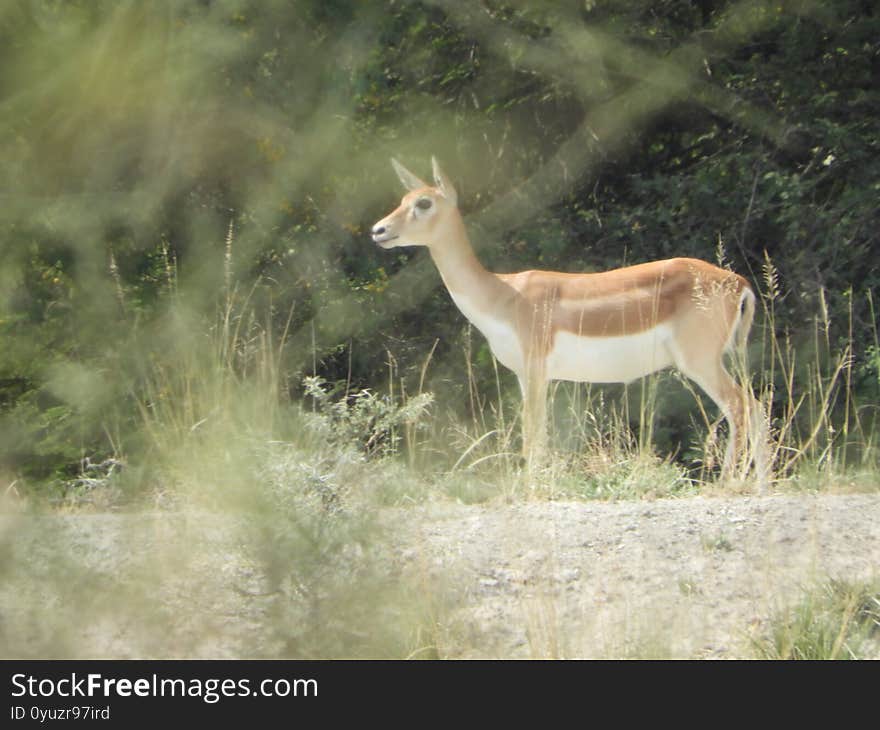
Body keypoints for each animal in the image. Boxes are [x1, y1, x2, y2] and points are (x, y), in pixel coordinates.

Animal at [368, 155, 768, 484]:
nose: (378, 230)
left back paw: (725, 484)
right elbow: (539, 434)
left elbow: (532, 434)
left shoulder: (536, 367)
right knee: (757, 407)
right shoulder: (527, 375)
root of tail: (739, 283)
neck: (505, 294)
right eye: (403, 199)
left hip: (700, 361)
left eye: (424, 202)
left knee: (741, 406)